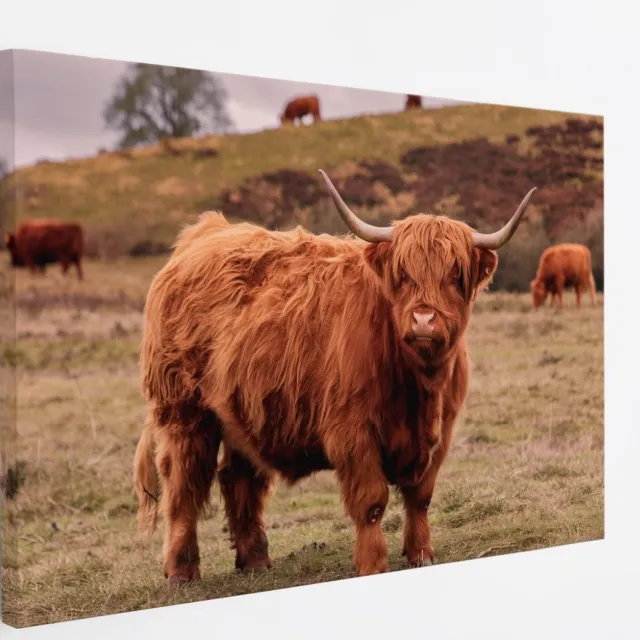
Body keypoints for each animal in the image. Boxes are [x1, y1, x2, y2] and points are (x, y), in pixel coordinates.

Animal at [133, 170, 536, 587]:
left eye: (455, 275)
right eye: (403, 275)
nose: (424, 321)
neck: (420, 387)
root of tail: (204, 232)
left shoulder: (441, 434)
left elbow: (420, 497)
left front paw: (421, 554)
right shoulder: (352, 431)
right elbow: (371, 501)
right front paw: (372, 564)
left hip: (241, 410)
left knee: (238, 477)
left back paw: (255, 560)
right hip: (183, 410)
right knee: (182, 484)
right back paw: (181, 571)